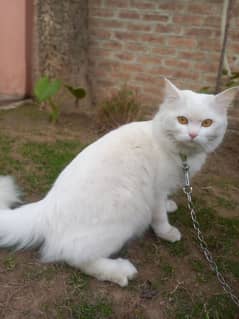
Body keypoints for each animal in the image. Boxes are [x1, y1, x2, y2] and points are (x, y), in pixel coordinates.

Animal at [0, 80, 238, 288]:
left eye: (206, 123)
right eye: (182, 120)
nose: (193, 134)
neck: (181, 155)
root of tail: (47, 206)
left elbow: (166, 204)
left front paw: (171, 206)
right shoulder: (156, 192)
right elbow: (160, 217)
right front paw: (167, 232)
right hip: (125, 217)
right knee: (73, 256)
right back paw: (120, 272)